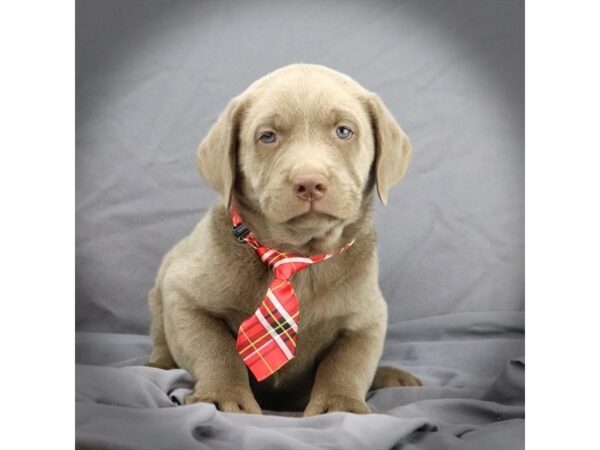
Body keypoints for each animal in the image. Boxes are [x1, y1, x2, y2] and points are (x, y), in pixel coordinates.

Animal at [149, 62, 422, 414]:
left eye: (344, 131)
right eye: (267, 136)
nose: (310, 182)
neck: (295, 255)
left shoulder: (367, 318)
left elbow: (347, 364)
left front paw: (341, 405)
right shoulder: (184, 296)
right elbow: (215, 348)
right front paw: (224, 396)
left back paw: (393, 376)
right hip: (160, 288)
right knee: (162, 344)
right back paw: (155, 366)